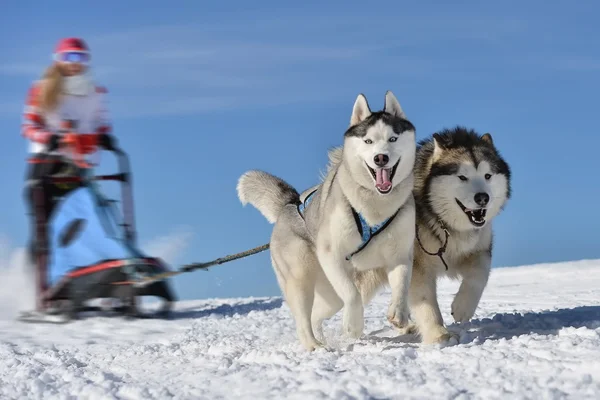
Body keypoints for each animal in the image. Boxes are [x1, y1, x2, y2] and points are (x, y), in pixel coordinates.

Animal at [236, 91, 418, 350]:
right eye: (368, 141)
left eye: (393, 138)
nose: (381, 158)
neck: (374, 208)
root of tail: (290, 204)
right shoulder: (332, 254)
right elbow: (352, 295)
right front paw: (352, 325)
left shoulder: (400, 253)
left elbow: (402, 283)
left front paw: (399, 314)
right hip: (302, 276)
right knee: (304, 318)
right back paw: (314, 345)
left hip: (330, 293)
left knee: (316, 314)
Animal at [354, 126, 512, 344]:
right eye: (462, 177)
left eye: (487, 176)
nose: (482, 197)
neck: (444, 223)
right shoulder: (418, 265)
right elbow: (425, 301)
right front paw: (439, 334)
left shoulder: (479, 248)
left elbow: (479, 274)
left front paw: (462, 307)